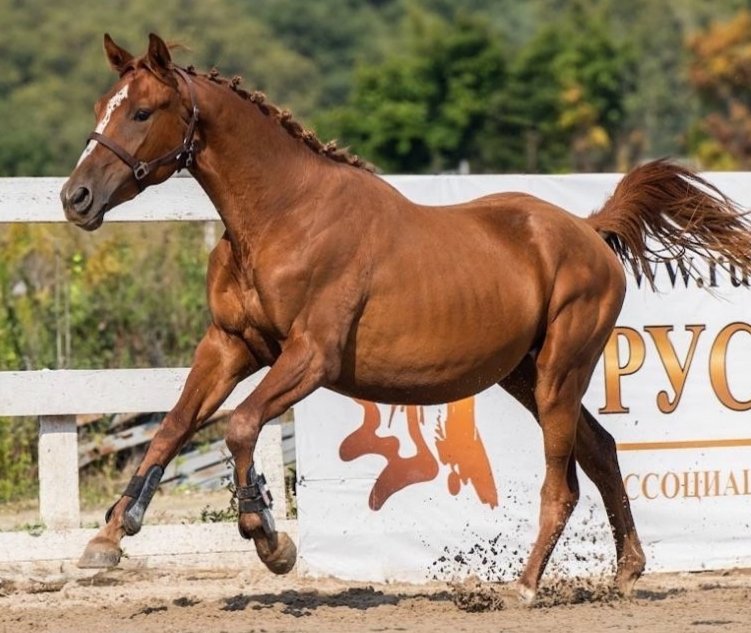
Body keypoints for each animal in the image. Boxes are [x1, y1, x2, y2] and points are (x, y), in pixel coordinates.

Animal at [60, 33, 751, 603]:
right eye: (100, 106)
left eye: (141, 111)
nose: (76, 198)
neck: (284, 217)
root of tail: (587, 228)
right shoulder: (230, 346)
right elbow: (174, 427)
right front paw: (110, 536)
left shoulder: (310, 357)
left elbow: (239, 426)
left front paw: (269, 538)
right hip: (525, 377)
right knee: (602, 451)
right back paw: (627, 571)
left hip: (561, 372)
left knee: (564, 481)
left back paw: (525, 586)